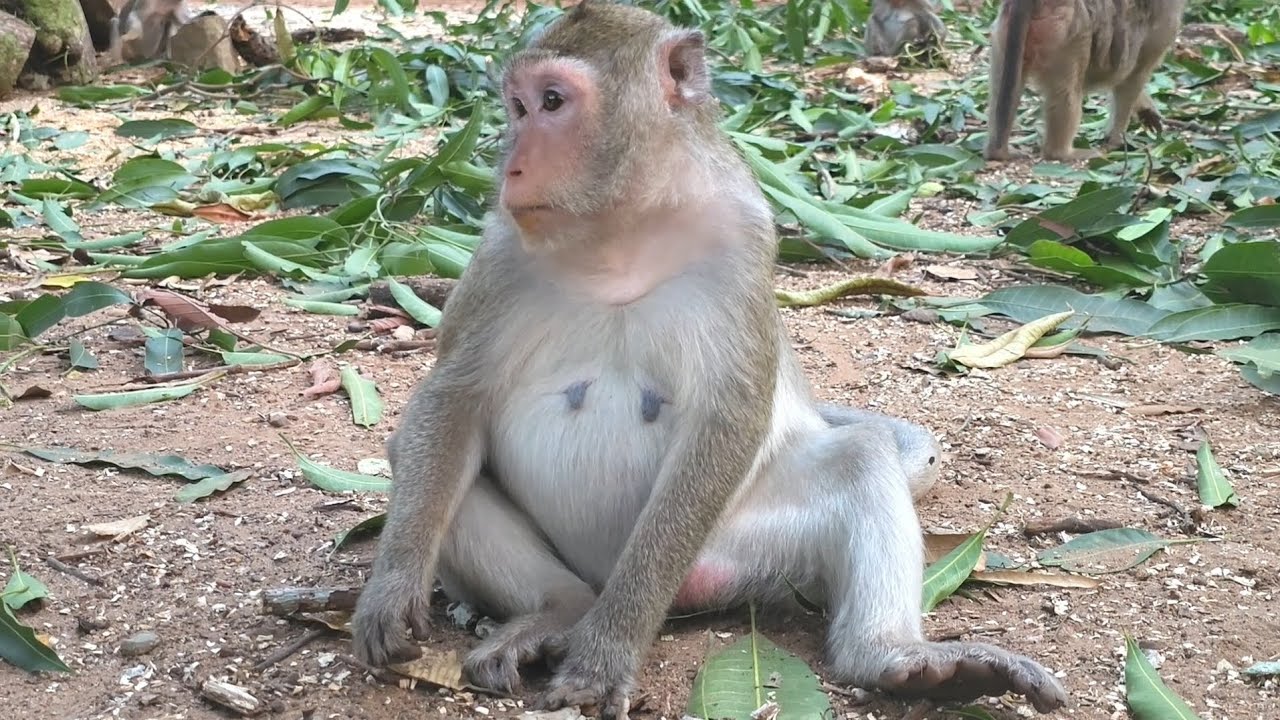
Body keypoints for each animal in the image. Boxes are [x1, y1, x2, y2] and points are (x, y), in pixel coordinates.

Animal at [349, 2, 1068, 717]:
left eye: (552, 102)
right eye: (518, 107)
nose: (512, 167)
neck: (619, 233)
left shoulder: (741, 241)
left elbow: (728, 420)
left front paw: (609, 651)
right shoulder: (500, 251)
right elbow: (455, 398)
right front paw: (393, 588)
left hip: (736, 549)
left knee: (860, 456)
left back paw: (896, 659)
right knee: (423, 459)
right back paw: (560, 610)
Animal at [983, 0, 1187, 162]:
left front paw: (1146, 108)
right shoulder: (1166, 18)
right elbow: (1132, 78)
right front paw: (1116, 140)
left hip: (1004, 31)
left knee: (1004, 91)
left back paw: (997, 151)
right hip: (1070, 31)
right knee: (1068, 92)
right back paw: (1061, 153)